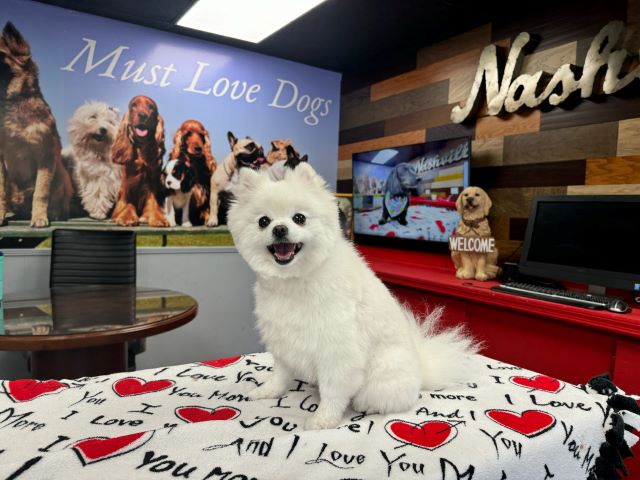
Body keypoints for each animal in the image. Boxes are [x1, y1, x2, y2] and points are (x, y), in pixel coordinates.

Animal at [228, 163, 478, 430]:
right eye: (263, 221)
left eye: (299, 218)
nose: (280, 229)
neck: (297, 279)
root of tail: (422, 372)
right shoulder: (283, 339)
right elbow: (281, 373)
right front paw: (269, 391)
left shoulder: (338, 349)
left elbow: (333, 390)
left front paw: (323, 419)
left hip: (382, 377)